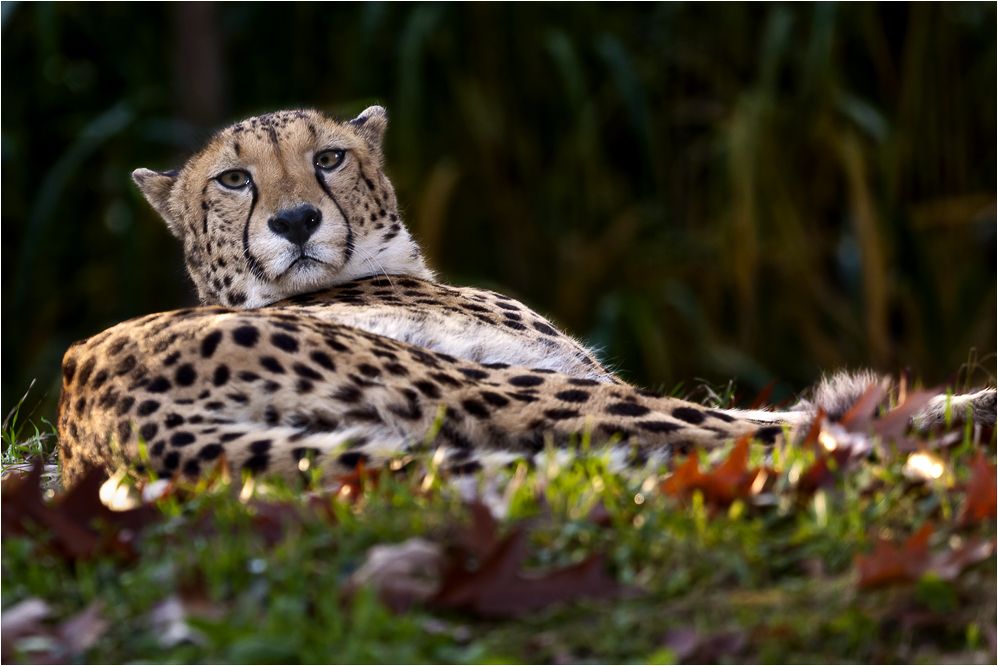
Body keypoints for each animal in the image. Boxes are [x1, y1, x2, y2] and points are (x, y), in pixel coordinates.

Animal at [56, 106, 998, 486]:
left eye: (327, 158)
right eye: (234, 180)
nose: (294, 221)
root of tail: (91, 414)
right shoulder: (572, 373)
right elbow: (752, 417)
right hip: (486, 386)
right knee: (746, 433)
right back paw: (963, 406)